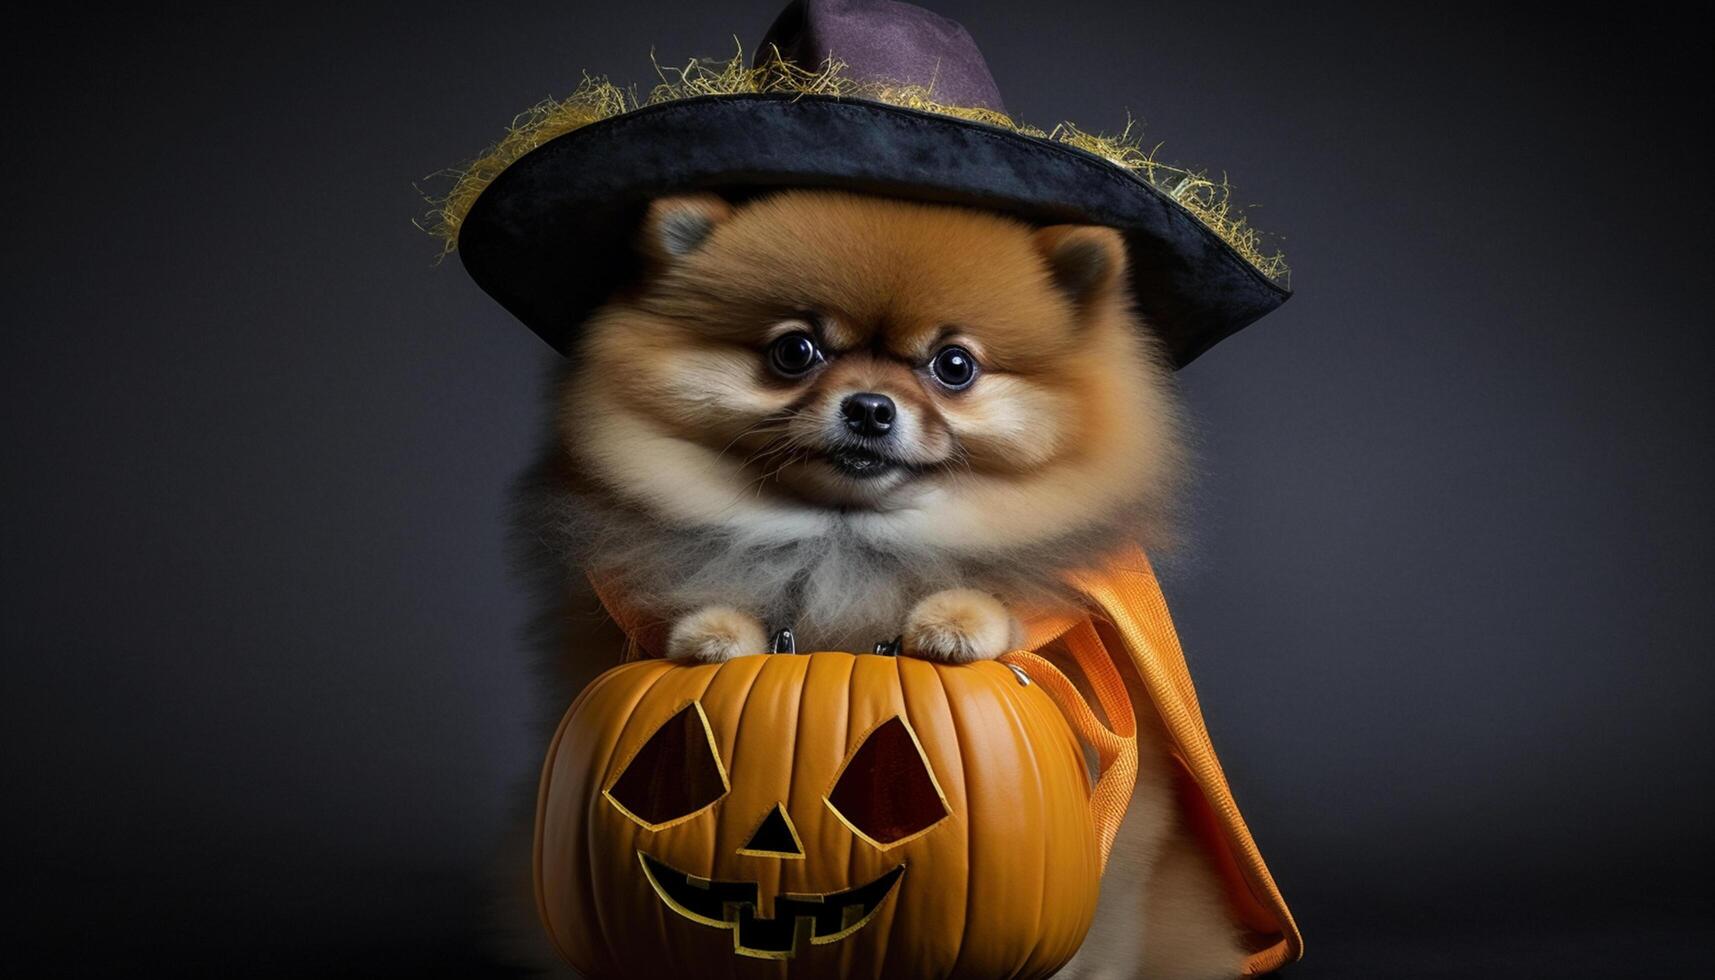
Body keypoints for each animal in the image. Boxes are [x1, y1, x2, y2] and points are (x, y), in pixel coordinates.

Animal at [500, 187, 1255, 974]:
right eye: (794, 351)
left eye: (953, 365)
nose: (868, 407)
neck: (847, 545)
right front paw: (713, 633)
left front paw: (956, 622)